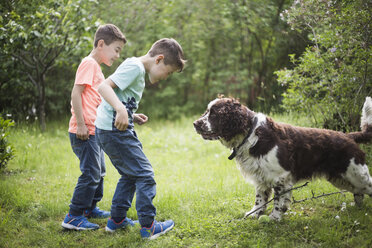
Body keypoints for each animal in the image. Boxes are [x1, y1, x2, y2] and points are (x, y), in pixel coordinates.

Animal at [193, 96, 372, 220]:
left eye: (214, 114)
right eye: (207, 112)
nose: (195, 124)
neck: (251, 134)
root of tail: (349, 136)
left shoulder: (280, 177)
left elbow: (278, 200)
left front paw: (274, 217)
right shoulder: (261, 177)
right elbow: (260, 198)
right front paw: (255, 213)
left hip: (356, 173)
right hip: (341, 178)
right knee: (359, 193)